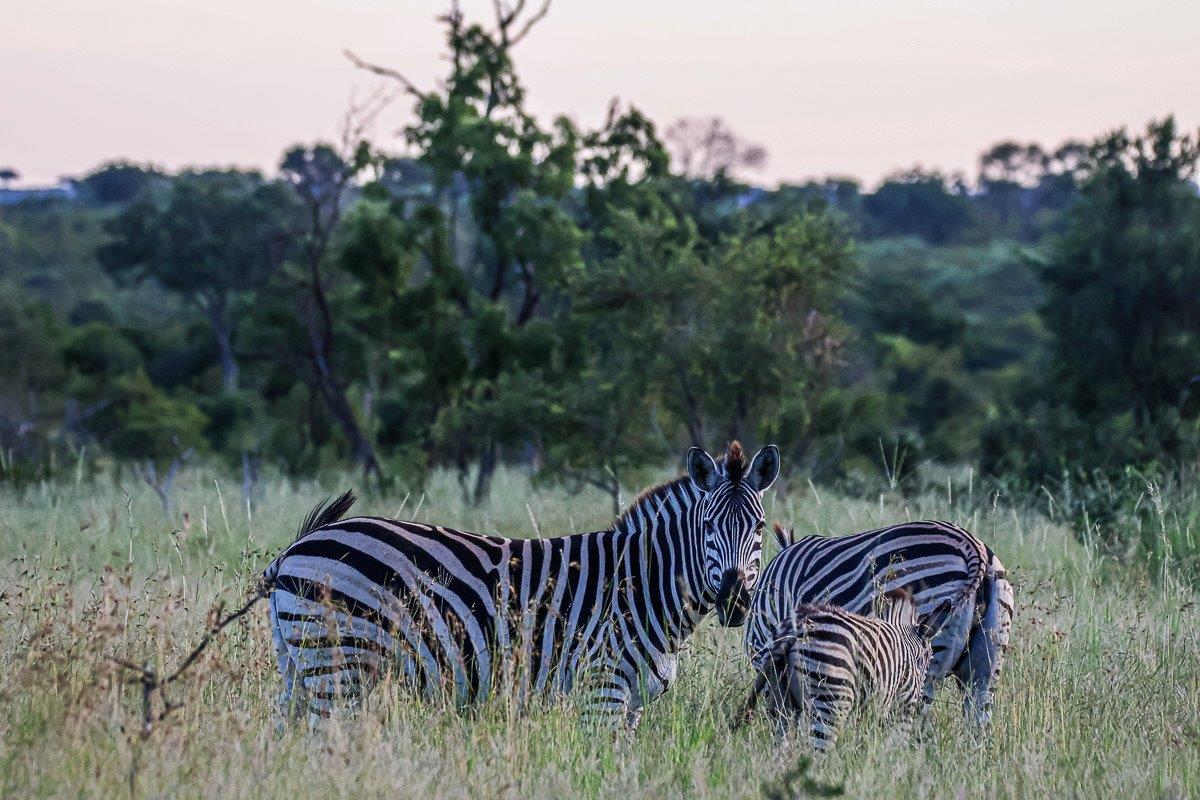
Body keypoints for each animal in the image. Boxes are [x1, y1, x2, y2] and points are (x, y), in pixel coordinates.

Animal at [264, 441, 780, 727]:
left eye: (759, 527)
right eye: (708, 526)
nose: (736, 599)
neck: (643, 586)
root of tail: (295, 547)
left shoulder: (633, 701)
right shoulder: (602, 687)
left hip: (300, 669)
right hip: (340, 668)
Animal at [737, 589, 954, 751]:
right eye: (929, 659)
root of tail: (797, 626)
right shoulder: (902, 705)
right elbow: (893, 744)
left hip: (783, 702)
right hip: (832, 701)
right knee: (817, 752)